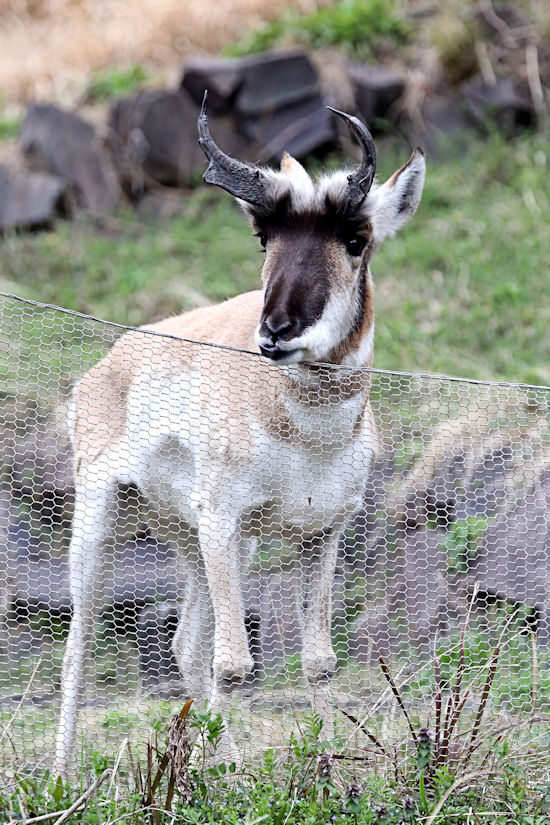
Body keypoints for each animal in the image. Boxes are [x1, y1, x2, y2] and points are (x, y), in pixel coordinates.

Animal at [55, 96, 426, 772]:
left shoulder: (320, 533)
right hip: (107, 524)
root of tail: (110, 362)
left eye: (355, 239)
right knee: (81, 648)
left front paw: (323, 770)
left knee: (185, 643)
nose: (275, 331)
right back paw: (64, 778)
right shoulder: (224, 522)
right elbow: (233, 665)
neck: (304, 435)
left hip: (200, 541)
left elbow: (318, 661)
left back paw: (221, 760)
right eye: (264, 236)